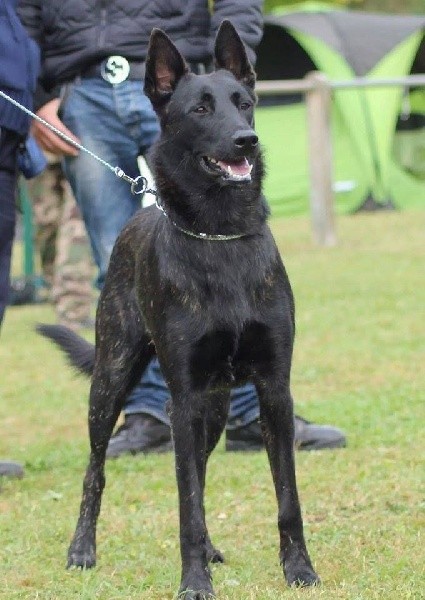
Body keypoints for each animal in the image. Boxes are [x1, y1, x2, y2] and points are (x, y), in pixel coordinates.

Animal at [39, 21, 318, 596]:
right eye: (200, 109)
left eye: (244, 104)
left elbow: (287, 498)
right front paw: (193, 582)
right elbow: (187, 505)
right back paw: (82, 548)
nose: (247, 140)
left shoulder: (273, 390)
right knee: (96, 470)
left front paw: (299, 569)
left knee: (202, 474)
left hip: (212, 408)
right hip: (112, 382)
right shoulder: (182, 397)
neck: (220, 233)